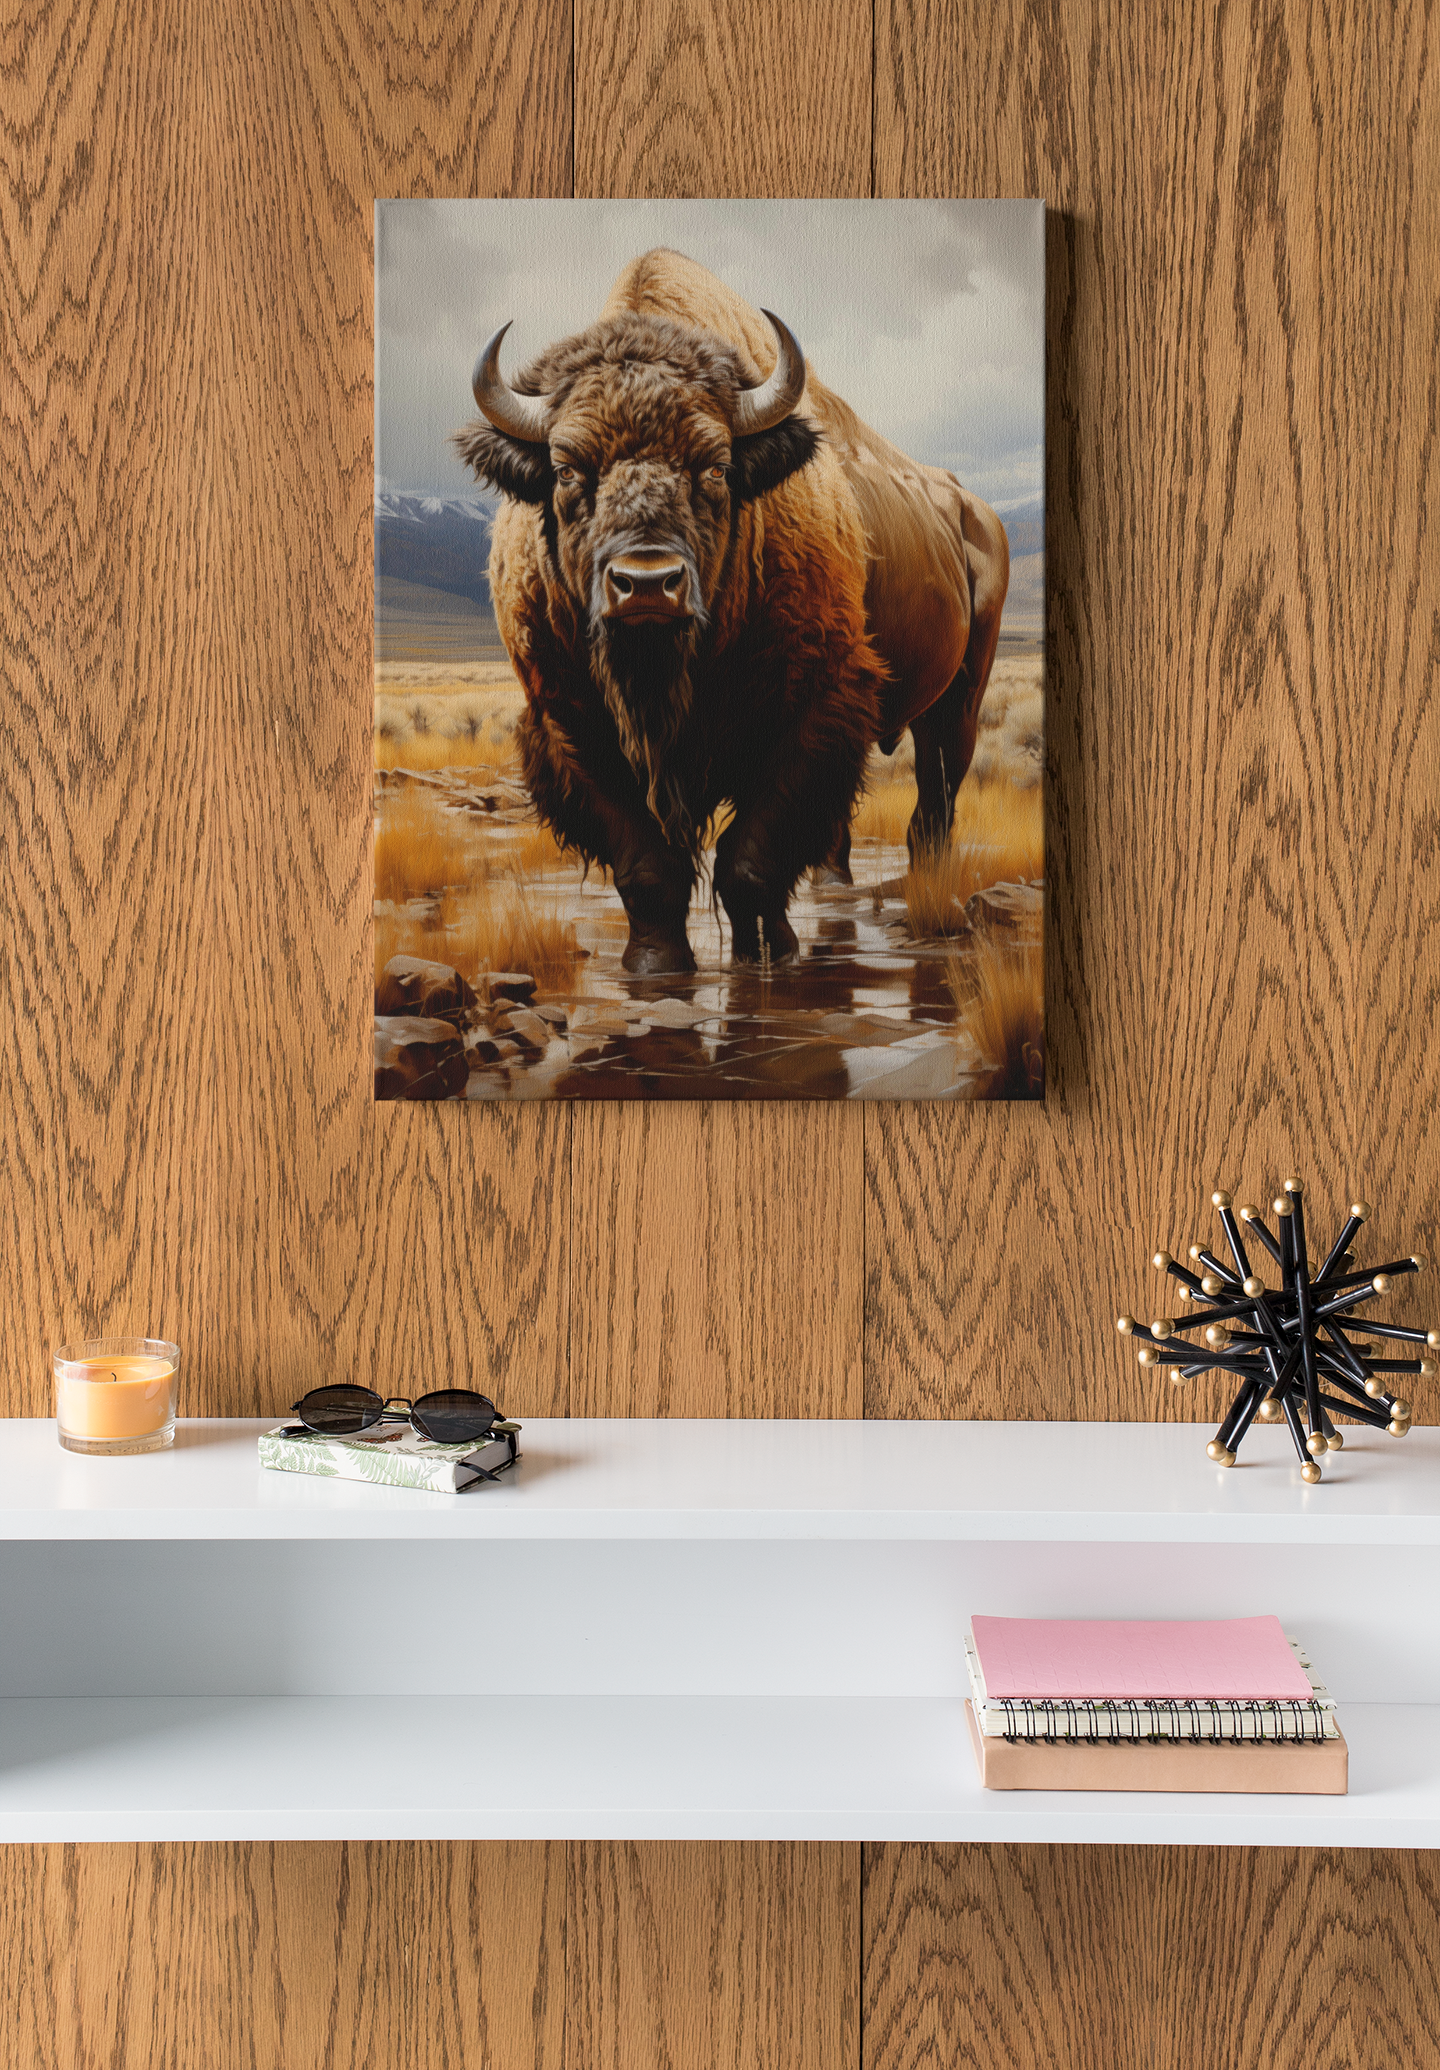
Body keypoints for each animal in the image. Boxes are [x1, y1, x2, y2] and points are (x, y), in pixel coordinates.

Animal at [453, 248, 1008, 975]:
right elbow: (647, 867)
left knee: (932, 809)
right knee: (846, 831)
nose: (647, 585)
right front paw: (656, 964)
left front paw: (770, 954)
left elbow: (751, 859)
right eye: (567, 469)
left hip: (959, 700)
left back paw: (925, 893)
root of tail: (973, 511)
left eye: (715, 468)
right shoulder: (570, 724)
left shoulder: (812, 708)